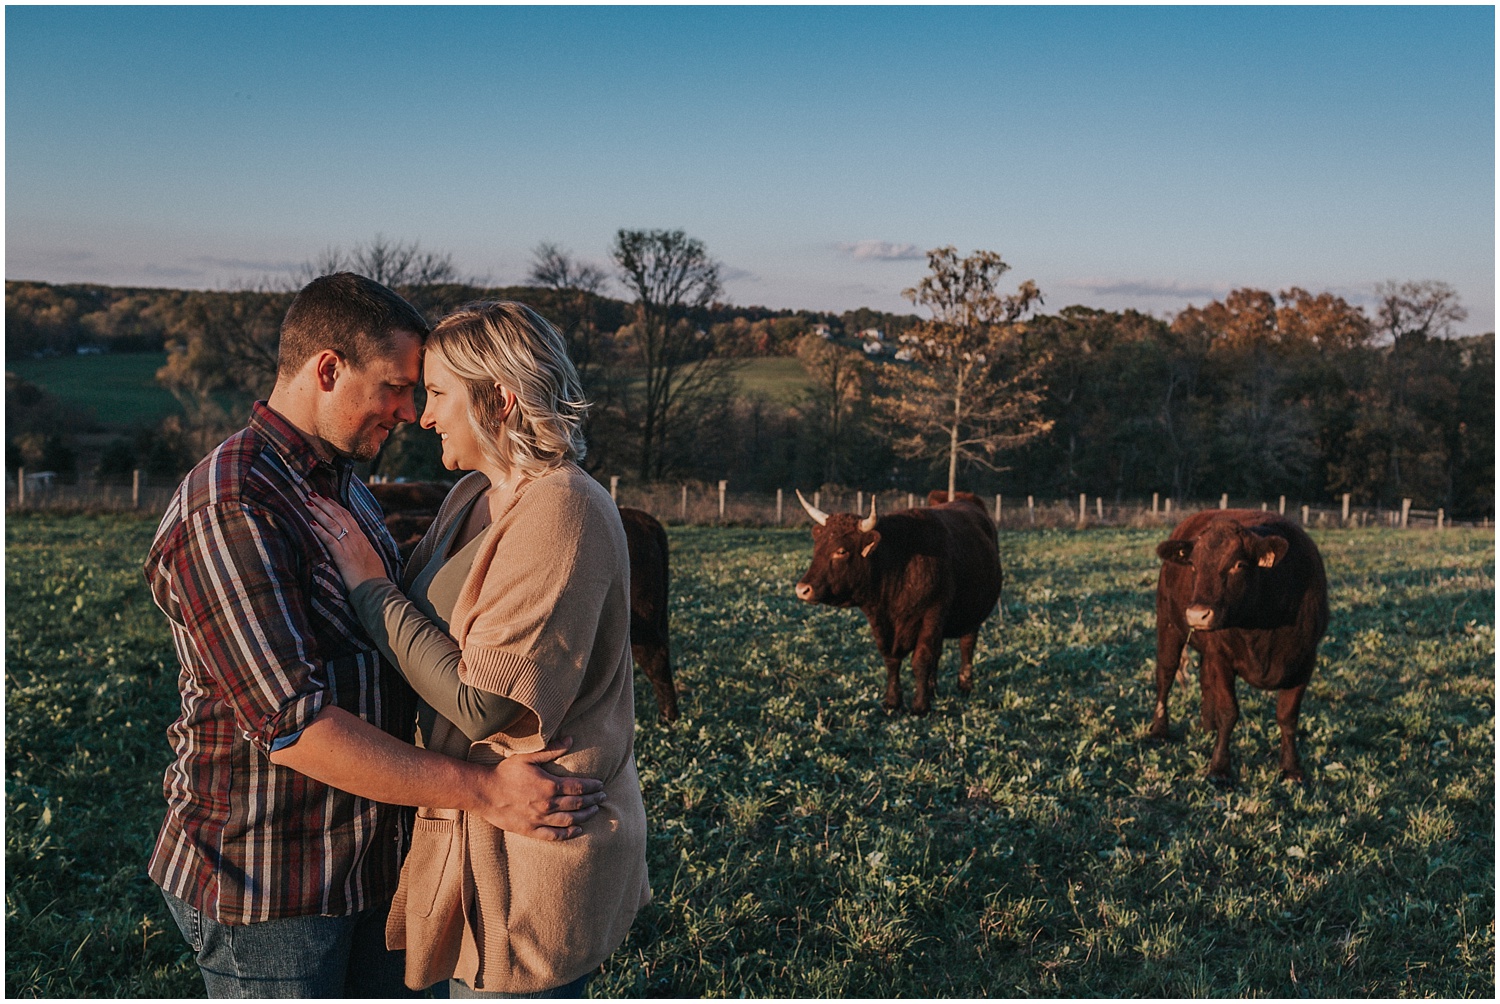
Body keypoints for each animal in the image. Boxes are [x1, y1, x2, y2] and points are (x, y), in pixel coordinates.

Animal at [792, 486, 1002, 711]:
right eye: (817, 548)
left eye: (841, 551)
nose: (802, 589)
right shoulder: (881, 621)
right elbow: (891, 659)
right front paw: (893, 701)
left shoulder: (933, 614)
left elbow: (921, 659)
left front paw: (920, 706)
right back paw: (933, 688)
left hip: (973, 614)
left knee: (966, 645)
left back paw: (964, 686)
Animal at [1152, 510, 1332, 780]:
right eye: (1193, 565)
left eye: (1239, 565)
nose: (1197, 614)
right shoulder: (1221, 657)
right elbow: (1229, 712)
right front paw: (1220, 768)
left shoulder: (1304, 660)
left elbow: (1288, 716)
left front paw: (1292, 768)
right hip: (1169, 624)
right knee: (1166, 674)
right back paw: (1159, 730)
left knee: (1204, 680)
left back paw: (1207, 726)